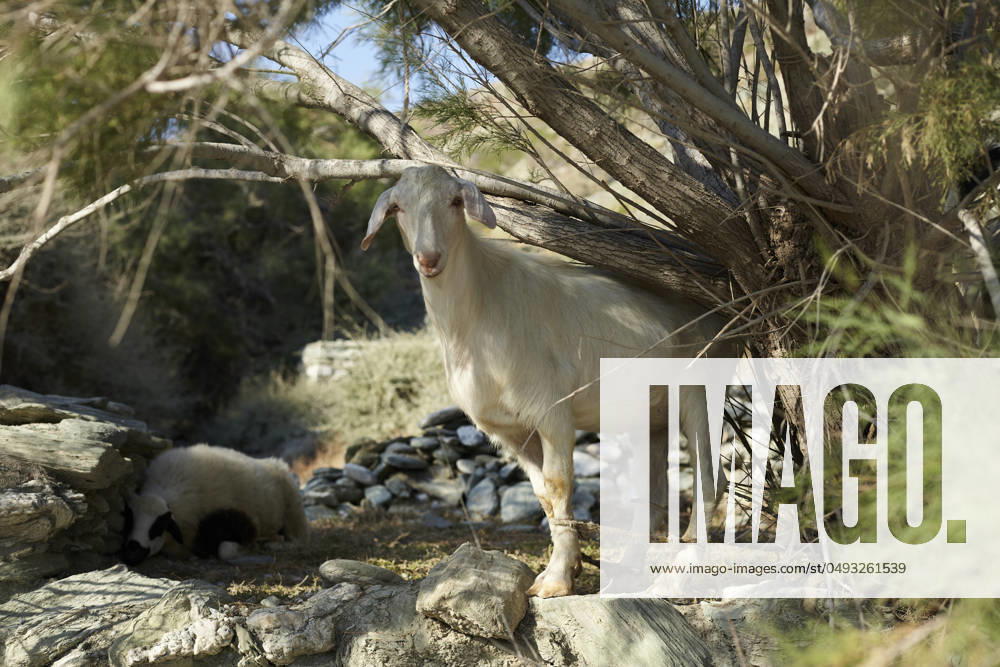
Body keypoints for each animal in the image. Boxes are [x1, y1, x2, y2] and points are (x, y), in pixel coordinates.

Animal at [122, 444, 307, 565]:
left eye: (160, 525)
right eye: (129, 519)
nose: (132, 554)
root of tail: (275, 462)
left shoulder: (243, 521)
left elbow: (225, 550)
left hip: (293, 511)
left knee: (298, 541)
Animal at [361, 165, 734, 597]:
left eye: (455, 201)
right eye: (398, 208)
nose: (429, 258)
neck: (480, 307)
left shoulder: (551, 411)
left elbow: (558, 485)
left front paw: (556, 580)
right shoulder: (509, 429)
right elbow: (541, 494)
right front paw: (565, 568)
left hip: (703, 384)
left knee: (710, 476)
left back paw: (689, 559)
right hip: (652, 409)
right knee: (655, 489)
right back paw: (630, 568)